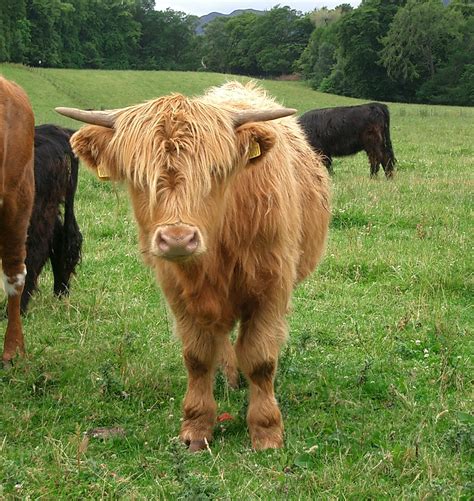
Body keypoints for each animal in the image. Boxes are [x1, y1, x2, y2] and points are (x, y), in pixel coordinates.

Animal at [57, 81, 332, 450]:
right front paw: (197, 427)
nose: (177, 239)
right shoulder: (177, 293)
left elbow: (261, 359)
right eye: (138, 177)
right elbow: (198, 357)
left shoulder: (272, 286)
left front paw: (266, 431)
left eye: (215, 173)